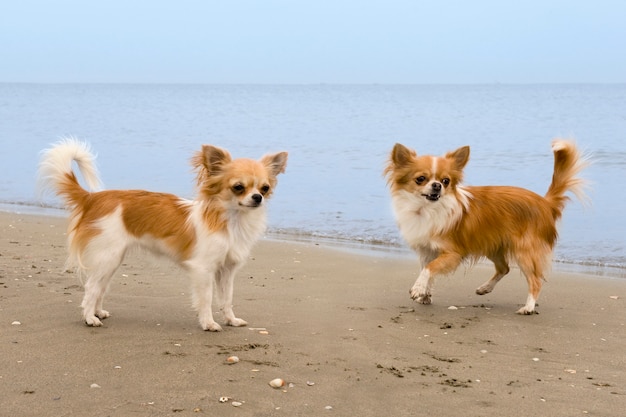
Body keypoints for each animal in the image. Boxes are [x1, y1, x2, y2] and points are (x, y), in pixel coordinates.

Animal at [40, 138, 288, 330]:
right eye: (238, 187)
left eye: (265, 188)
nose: (258, 198)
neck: (232, 220)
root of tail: (92, 198)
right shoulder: (203, 269)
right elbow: (206, 299)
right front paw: (208, 323)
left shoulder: (226, 270)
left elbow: (226, 298)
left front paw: (231, 320)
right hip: (107, 257)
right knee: (91, 287)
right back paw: (89, 318)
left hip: (112, 260)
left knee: (99, 287)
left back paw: (98, 312)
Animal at [386, 140, 584, 312]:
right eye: (420, 179)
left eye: (446, 181)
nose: (436, 186)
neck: (427, 209)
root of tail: (545, 203)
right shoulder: (427, 250)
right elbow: (427, 271)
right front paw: (425, 295)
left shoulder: (453, 253)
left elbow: (429, 269)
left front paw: (418, 289)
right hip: (492, 245)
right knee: (504, 268)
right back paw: (485, 288)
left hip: (524, 251)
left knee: (535, 280)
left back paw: (528, 307)